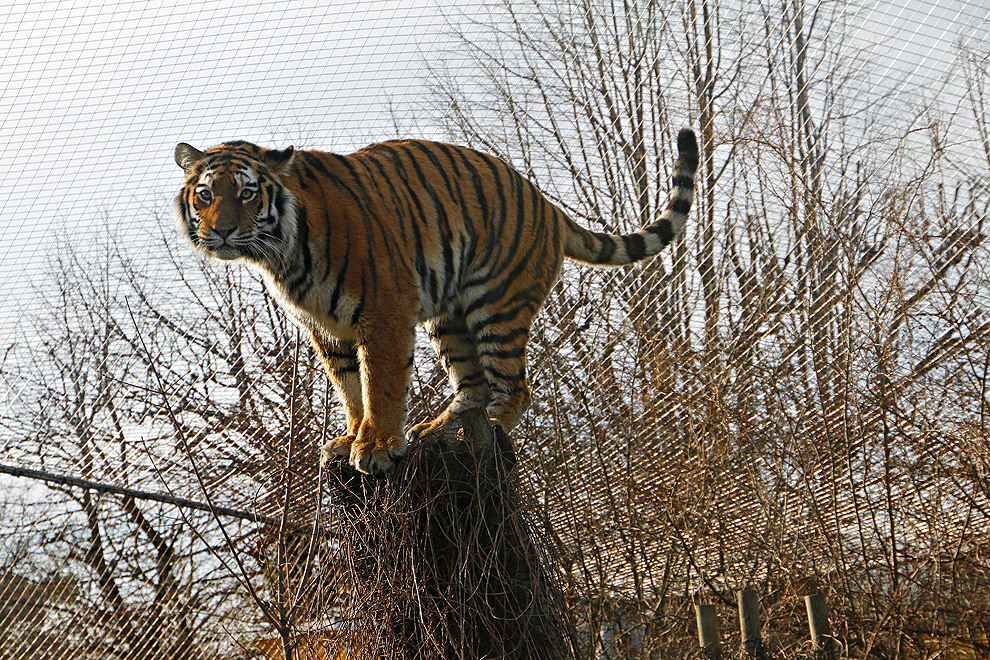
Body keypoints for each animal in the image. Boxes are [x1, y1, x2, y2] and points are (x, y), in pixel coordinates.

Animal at [172, 125, 696, 474]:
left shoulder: (383, 310)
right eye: (205, 194)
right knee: (473, 385)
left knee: (513, 386)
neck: (280, 253)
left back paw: (492, 425)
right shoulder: (326, 328)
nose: (221, 231)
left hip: (496, 305)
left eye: (246, 193)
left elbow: (380, 384)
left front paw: (377, 445)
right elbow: (350, 388)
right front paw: (351, 437)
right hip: (449, 318)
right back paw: (435, 429)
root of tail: (546, 203)